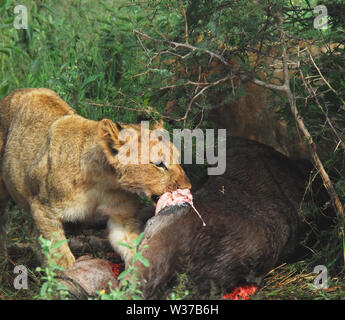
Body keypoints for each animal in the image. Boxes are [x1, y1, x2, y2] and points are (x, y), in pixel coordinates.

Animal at [0, 89, 191, 268]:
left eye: (177, 158)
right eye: (159, 164)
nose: (187, 187)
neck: (103, 181)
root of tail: (18, 92)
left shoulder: (121, 216)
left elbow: (132, 248)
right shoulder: (43, 209)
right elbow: (61, 257)